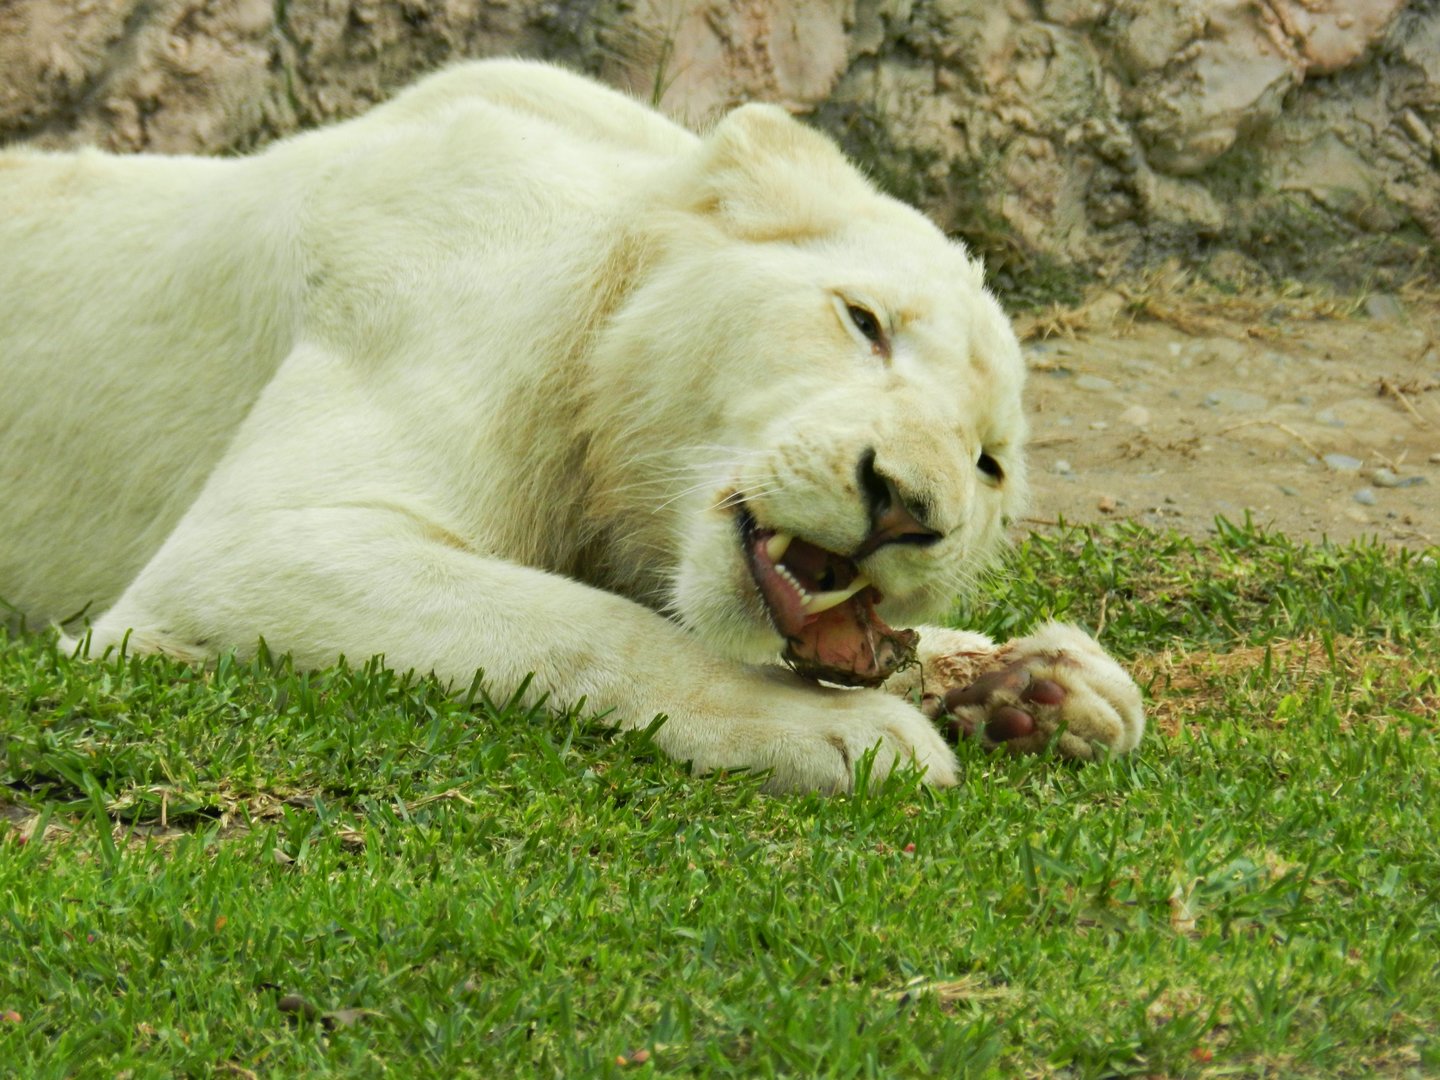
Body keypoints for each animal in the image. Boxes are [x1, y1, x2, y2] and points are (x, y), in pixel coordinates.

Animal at [0, 60, 1144, 793]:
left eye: (990, 465)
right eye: (864, 319)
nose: (903, 504)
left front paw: (1043, 686)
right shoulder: (444, 287)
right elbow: (581, 621)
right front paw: (854, 732)